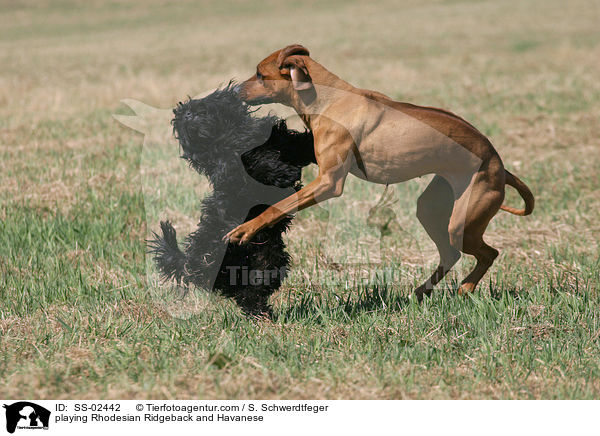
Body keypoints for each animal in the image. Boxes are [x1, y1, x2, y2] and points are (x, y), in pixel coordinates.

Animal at [149, 85, 314, 316]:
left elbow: (297, 145)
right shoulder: (233, 168)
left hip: (269, 261)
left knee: (254, 288)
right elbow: (259, 163)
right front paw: (284, 174)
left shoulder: (279, 140)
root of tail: (188, 262)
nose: (188, 116)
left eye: (198, 110)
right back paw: (263, 316)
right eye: (183, 119)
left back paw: (264, 314)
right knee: (245, 294)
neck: (227, 137)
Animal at [226, 44, 536, 302]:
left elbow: (276, 207)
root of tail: (500, 166)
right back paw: (421, 291)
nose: (236, 91)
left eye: (260, 74)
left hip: (463, 220)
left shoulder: (328, 183)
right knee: (451, 253)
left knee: (489, 253)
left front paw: (245, 229)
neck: (327, 98)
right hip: (433, 208)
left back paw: (466, 287)